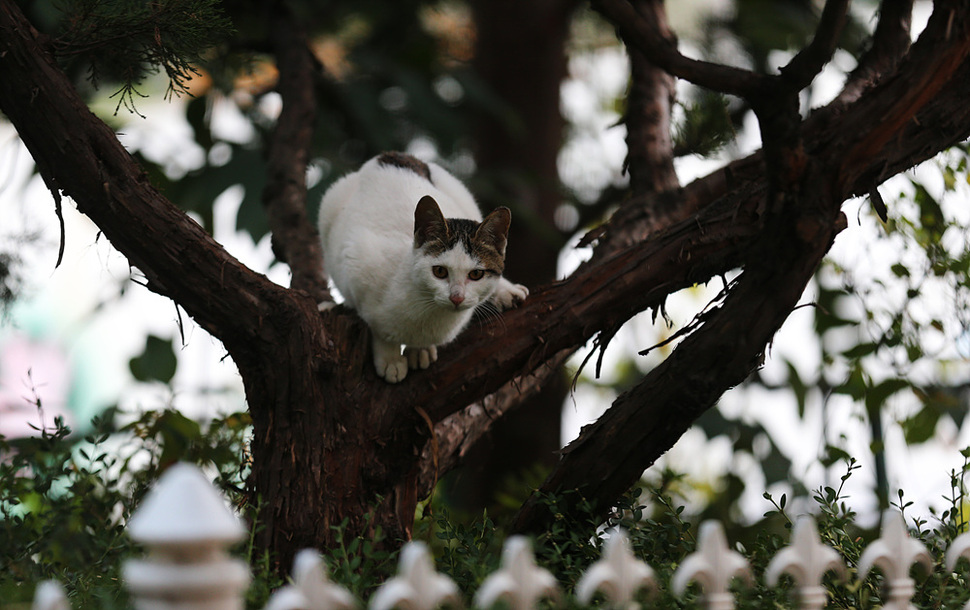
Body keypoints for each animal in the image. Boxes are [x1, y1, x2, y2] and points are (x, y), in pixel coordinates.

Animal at [318, 151, 528, 380]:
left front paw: (419, 350)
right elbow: (377, 327)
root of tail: (391, 155)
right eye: (439, 271)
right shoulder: (355, 261)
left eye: (476, 274)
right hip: (330, 206)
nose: (457, 298)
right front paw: (390, 358)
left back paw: (507, 291)